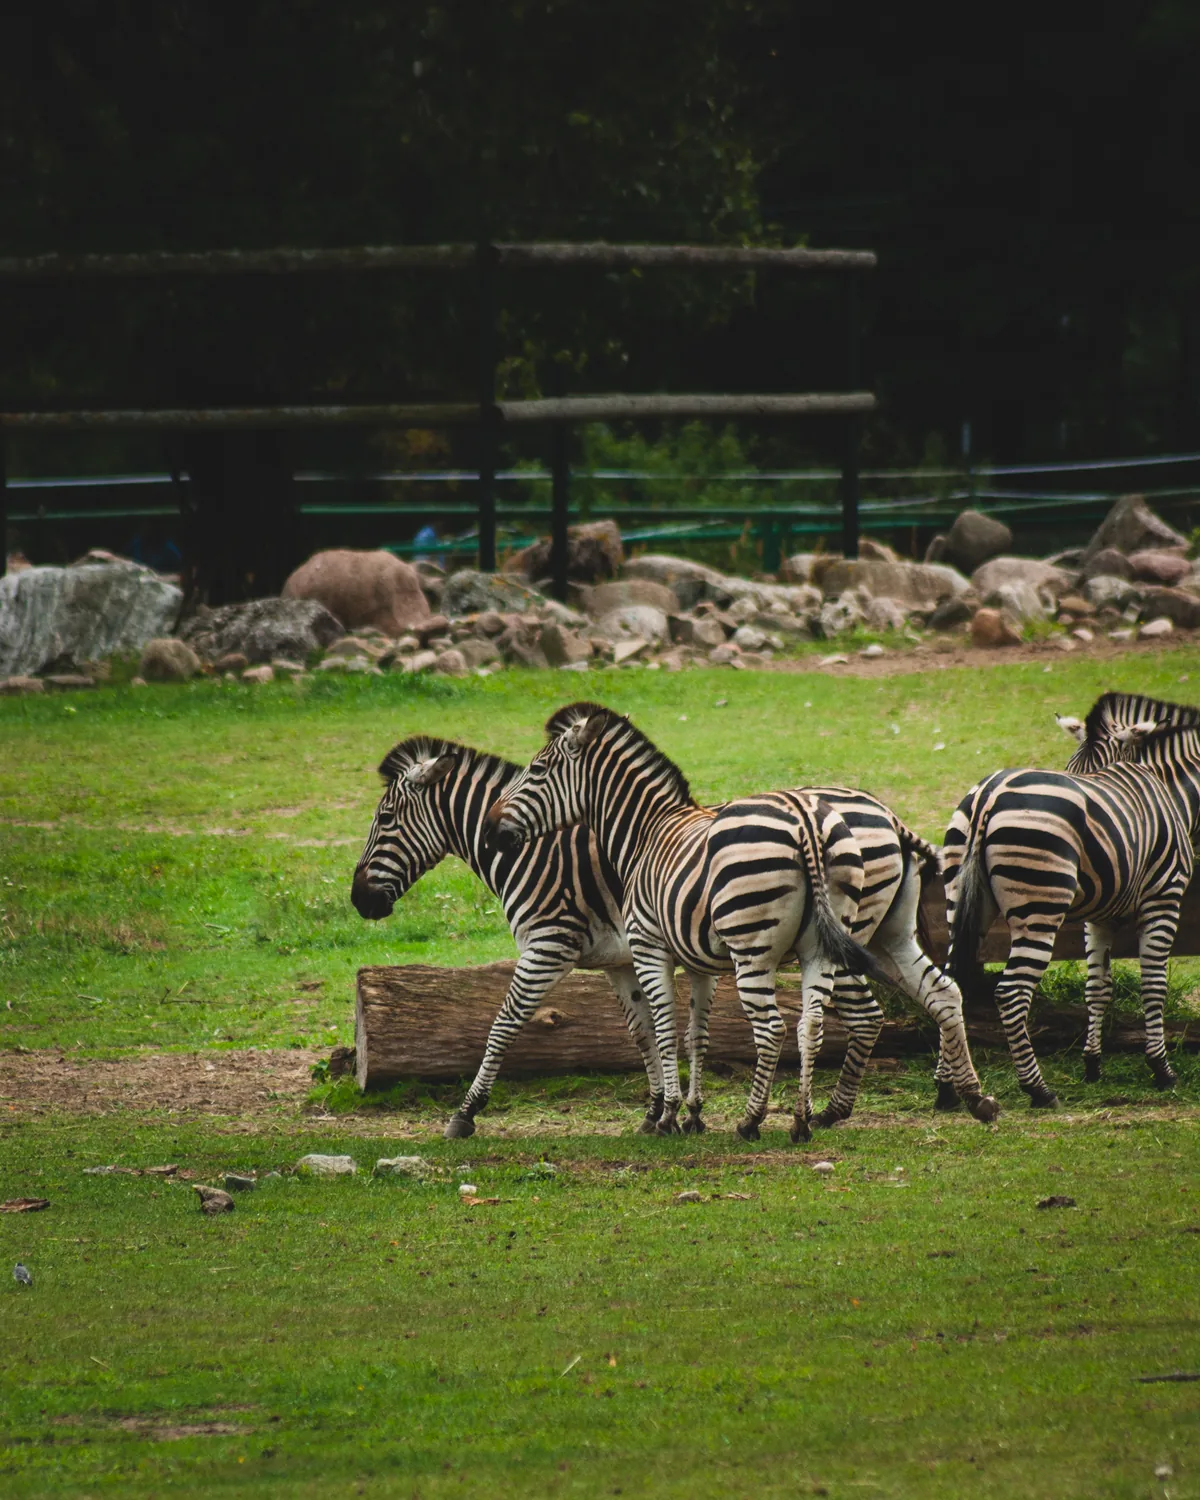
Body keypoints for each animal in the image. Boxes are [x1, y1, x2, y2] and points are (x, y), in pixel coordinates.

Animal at [351, 736, 667, 1139]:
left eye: (386, 818)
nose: (357, 899)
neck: (531, 854)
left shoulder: (548, 946)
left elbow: (503, 1024)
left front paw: (465, 1113)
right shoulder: (619, 961)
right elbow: (644, 1032)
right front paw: (656, 1112)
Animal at [489, 702, 993, 1139]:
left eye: (536, 770)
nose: (494, 828)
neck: (647, 830)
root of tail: (810, 819)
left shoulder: (649, 946)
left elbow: (665, 1029)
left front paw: (668, 1116)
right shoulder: (698, 960)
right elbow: (695, 1033)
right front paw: (691, 1114)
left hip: (758, 949)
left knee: (778, 1027)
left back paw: (757, 1120)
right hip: (869, 937)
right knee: (899, 1002)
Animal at [943, 692, 1198, 1104]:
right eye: (1072, 770)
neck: (1168, 790)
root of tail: (987, 795)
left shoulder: (1101, 915)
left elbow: (1097, 987)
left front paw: (1092, 1065)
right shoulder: (1164, 897)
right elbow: (1153, 984)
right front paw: (1162, 1069)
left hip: (960, 899)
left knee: (949, 983)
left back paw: (946, 1089)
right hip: (1039, 908)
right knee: (1011, 992)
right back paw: (1038, 1089)